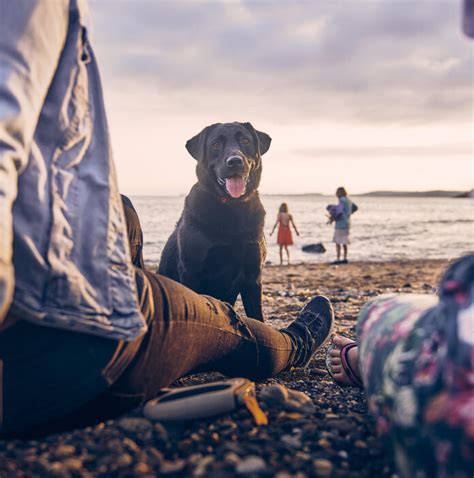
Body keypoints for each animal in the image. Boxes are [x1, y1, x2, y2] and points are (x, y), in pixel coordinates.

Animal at [158, 121, 270, 324]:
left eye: (245, 140)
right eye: (216, 144)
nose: (235, 161)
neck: (232, 208)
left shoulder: (253, 276)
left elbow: (257, 318)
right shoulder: (192, 272)